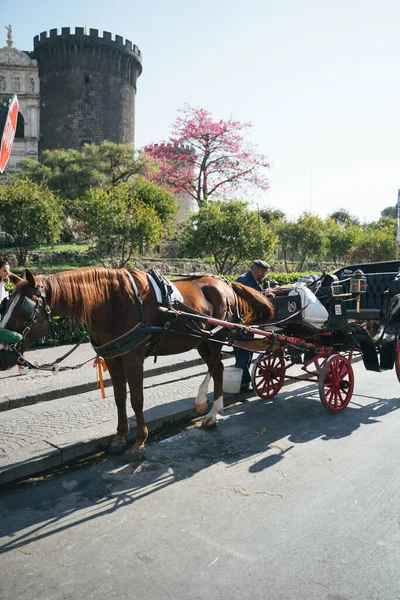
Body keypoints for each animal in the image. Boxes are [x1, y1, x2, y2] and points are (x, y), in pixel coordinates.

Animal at [0, 268, 276, 460]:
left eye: (25, 310)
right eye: (5, 305)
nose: (4, 354)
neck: (111, 303)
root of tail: (224, 282)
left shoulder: (133, 358)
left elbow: (137, 400)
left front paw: (140, 442)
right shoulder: (113, 358)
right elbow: (120, 398)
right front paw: (120, 437)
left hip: (214, 338)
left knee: (217, 368)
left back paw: (212, 413)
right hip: (201, 340)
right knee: (215, 367)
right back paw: (204, 405)